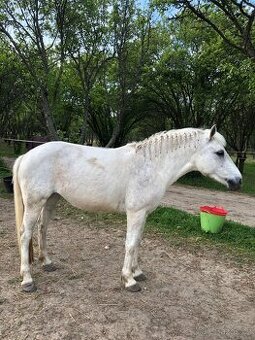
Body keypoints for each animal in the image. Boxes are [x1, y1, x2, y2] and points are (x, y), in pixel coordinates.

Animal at [13, 125, 241, 292]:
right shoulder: (136, 213)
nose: (238, 181)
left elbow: (138, 242)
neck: (151, 165)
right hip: (34, 203)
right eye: (220, 152)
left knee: (43, 228)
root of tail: (26, 156)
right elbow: (130, 244)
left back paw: (47, 262)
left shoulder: (144, 214)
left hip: (51, 200)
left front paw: (137, 272)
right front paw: (129, 280)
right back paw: (27, 279)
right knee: (25, 235)